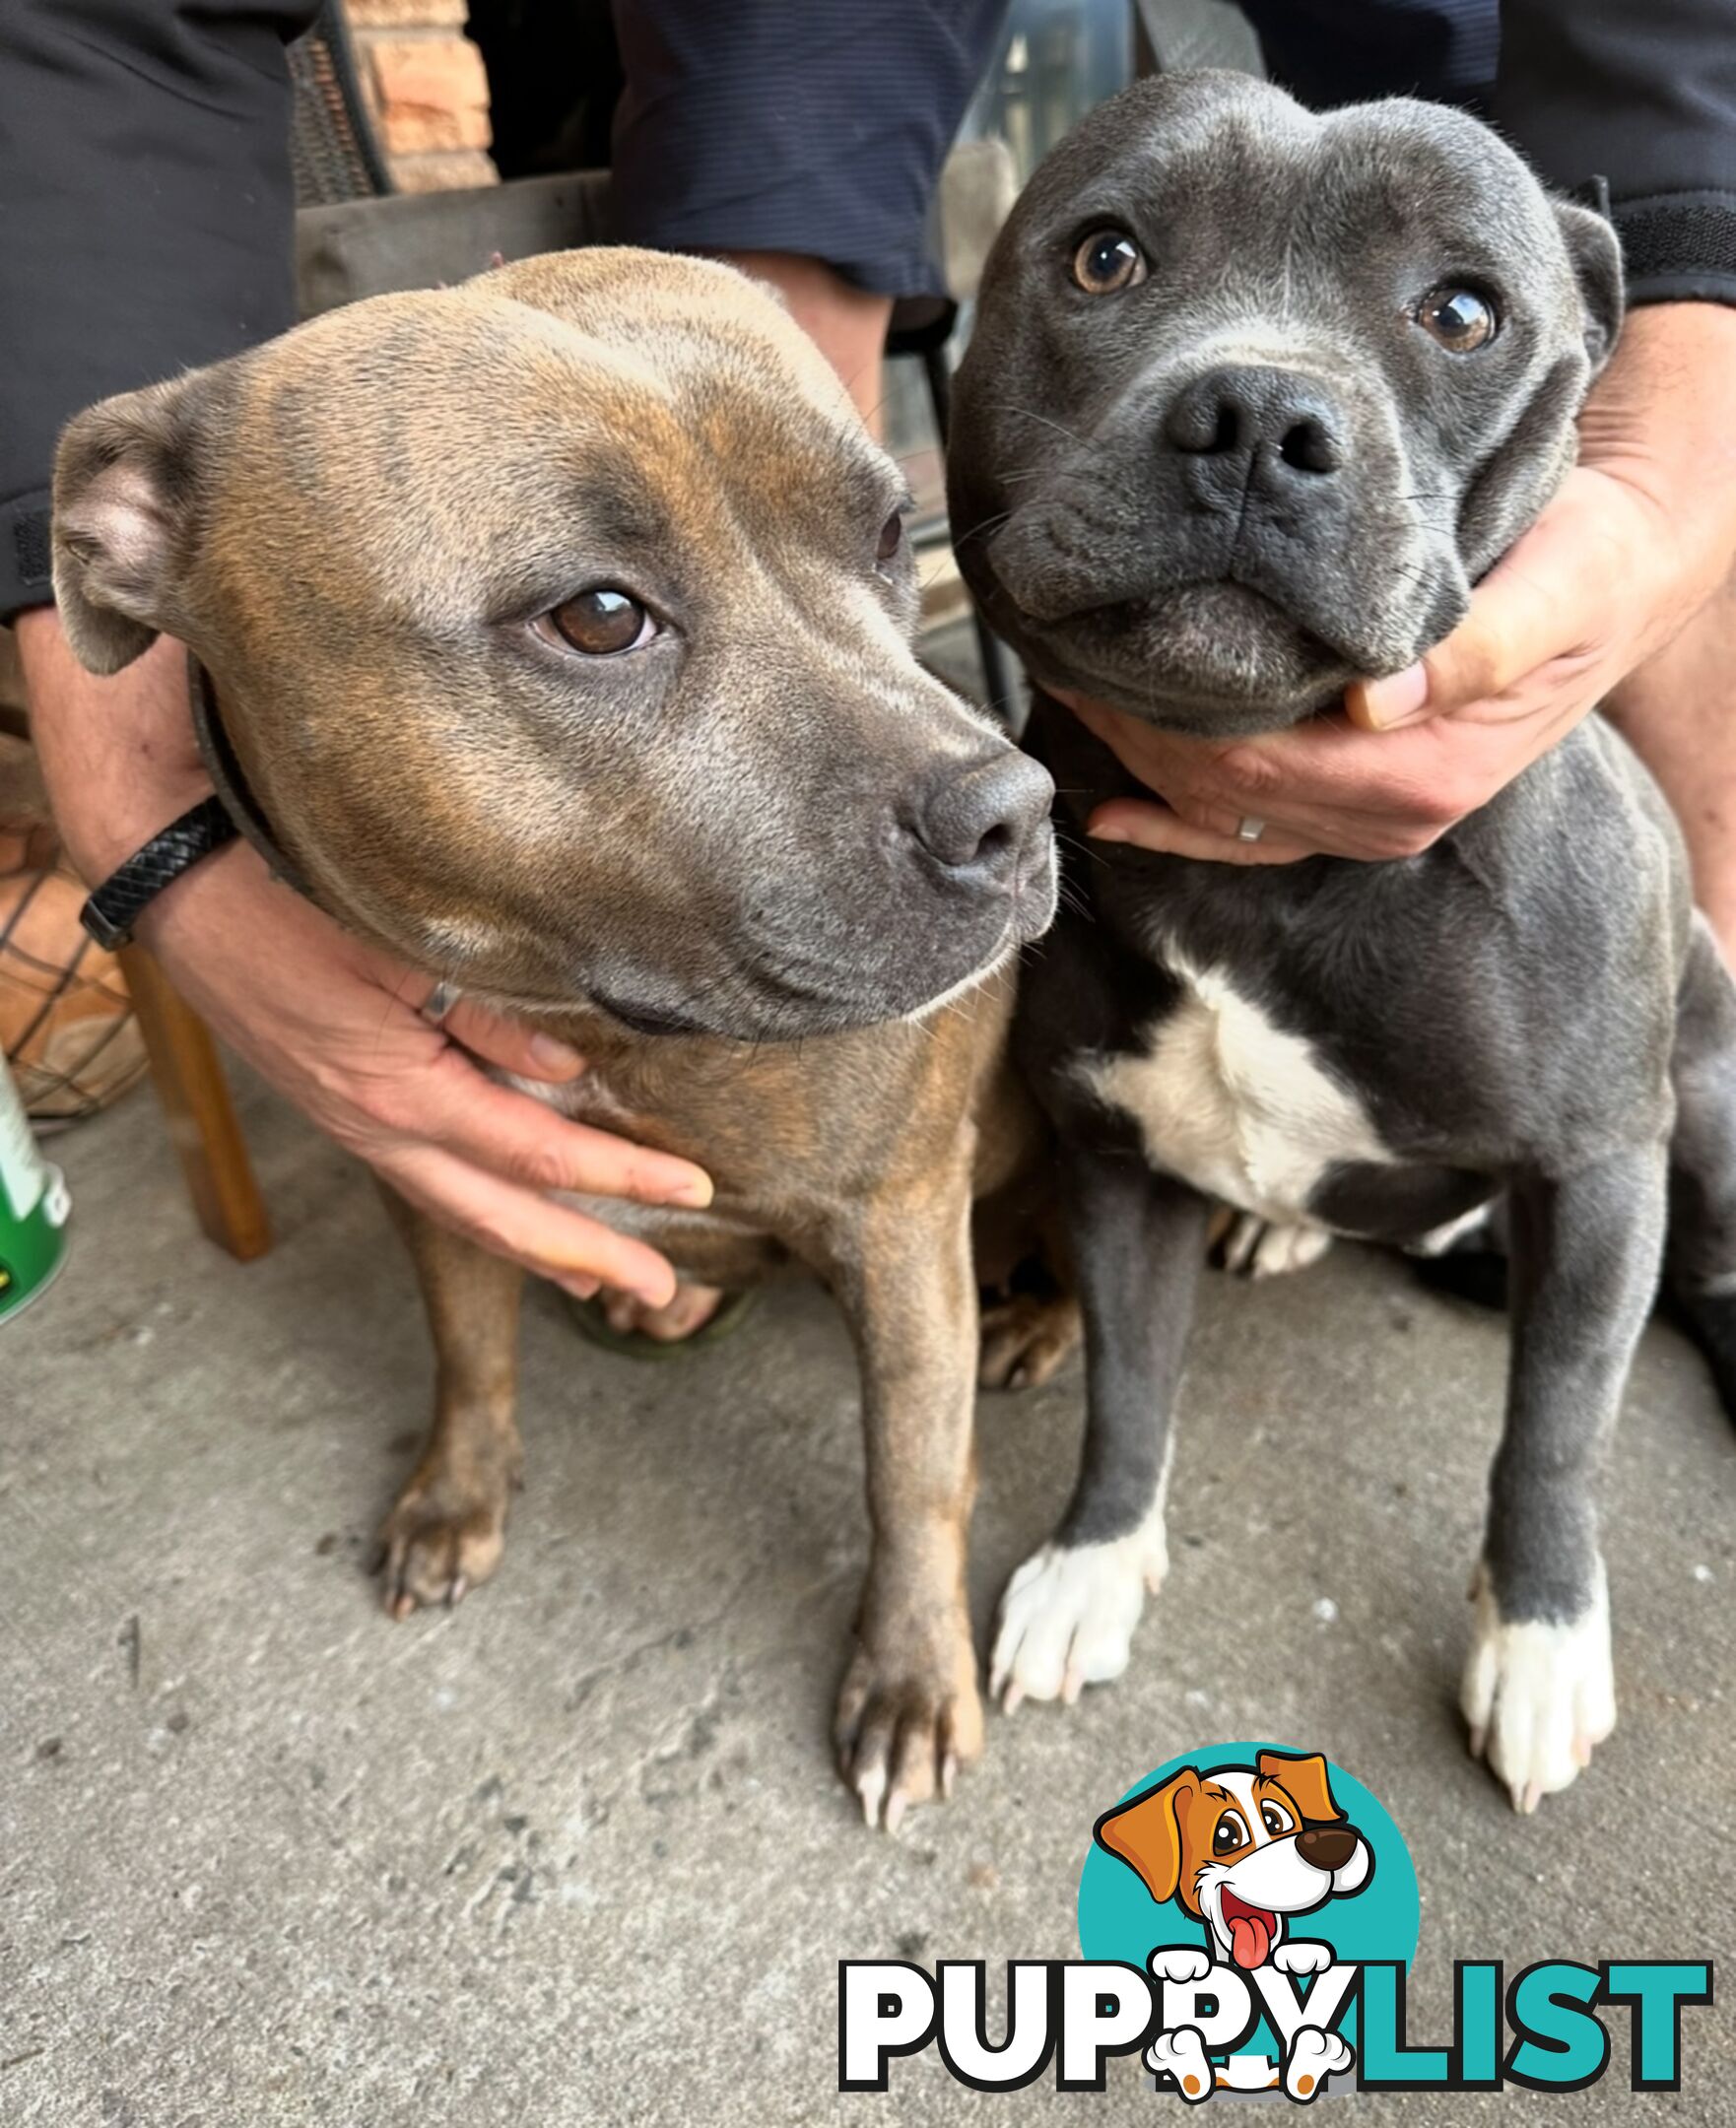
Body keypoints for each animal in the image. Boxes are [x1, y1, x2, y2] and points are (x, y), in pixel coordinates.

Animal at [944, 75, 1736, 1813]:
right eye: (1103, 256)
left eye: (1460, 312)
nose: (1254, 417)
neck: (1264, 867)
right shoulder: (1115, 1165)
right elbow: (1125, 1385)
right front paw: (1092, 1562)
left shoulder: (1597, 1169)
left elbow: (1552, 1428)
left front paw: (1538, 1641)